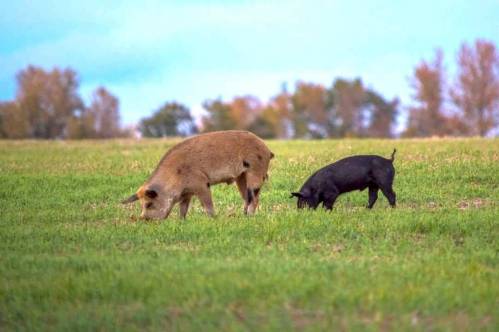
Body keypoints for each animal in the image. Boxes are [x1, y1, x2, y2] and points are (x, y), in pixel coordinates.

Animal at [122, 130, 276, 220]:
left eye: (149, 204)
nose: (142, 219)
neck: (174, 176)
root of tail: (267, 149)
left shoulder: (201, 183)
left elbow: (207, 203)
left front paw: (213, 218)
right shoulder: (187, 193)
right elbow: (183, 208)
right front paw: (181, 221)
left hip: (255, 171)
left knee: (254, 197)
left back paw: (249, 216)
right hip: (241, 177)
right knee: (247, 197)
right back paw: (242, 216)